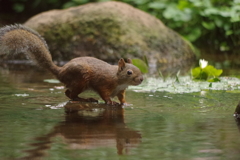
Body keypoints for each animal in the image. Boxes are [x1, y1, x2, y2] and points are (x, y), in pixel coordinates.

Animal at [0, 24, 142, 105]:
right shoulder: (104, 83)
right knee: (71, 94)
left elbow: (122, 98)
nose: (141, 79)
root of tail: (60, 72)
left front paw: (125, 103)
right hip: (80, 80)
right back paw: (86, 99)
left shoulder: (121, 90)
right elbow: (105, 95)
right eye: (129, 72)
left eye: (139, 69)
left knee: (68, 93)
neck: (118, 79)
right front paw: (110, 102)